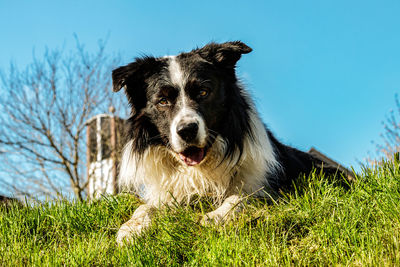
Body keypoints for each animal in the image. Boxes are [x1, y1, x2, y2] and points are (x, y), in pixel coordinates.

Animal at [111, 41, 346, 245]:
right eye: (163, 101)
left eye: (203, 92)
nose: (187, 130)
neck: (202, 167)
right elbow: (146, 208)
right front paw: (131, 228)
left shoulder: (267, 185)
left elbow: (240, 197)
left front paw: (215, 216)